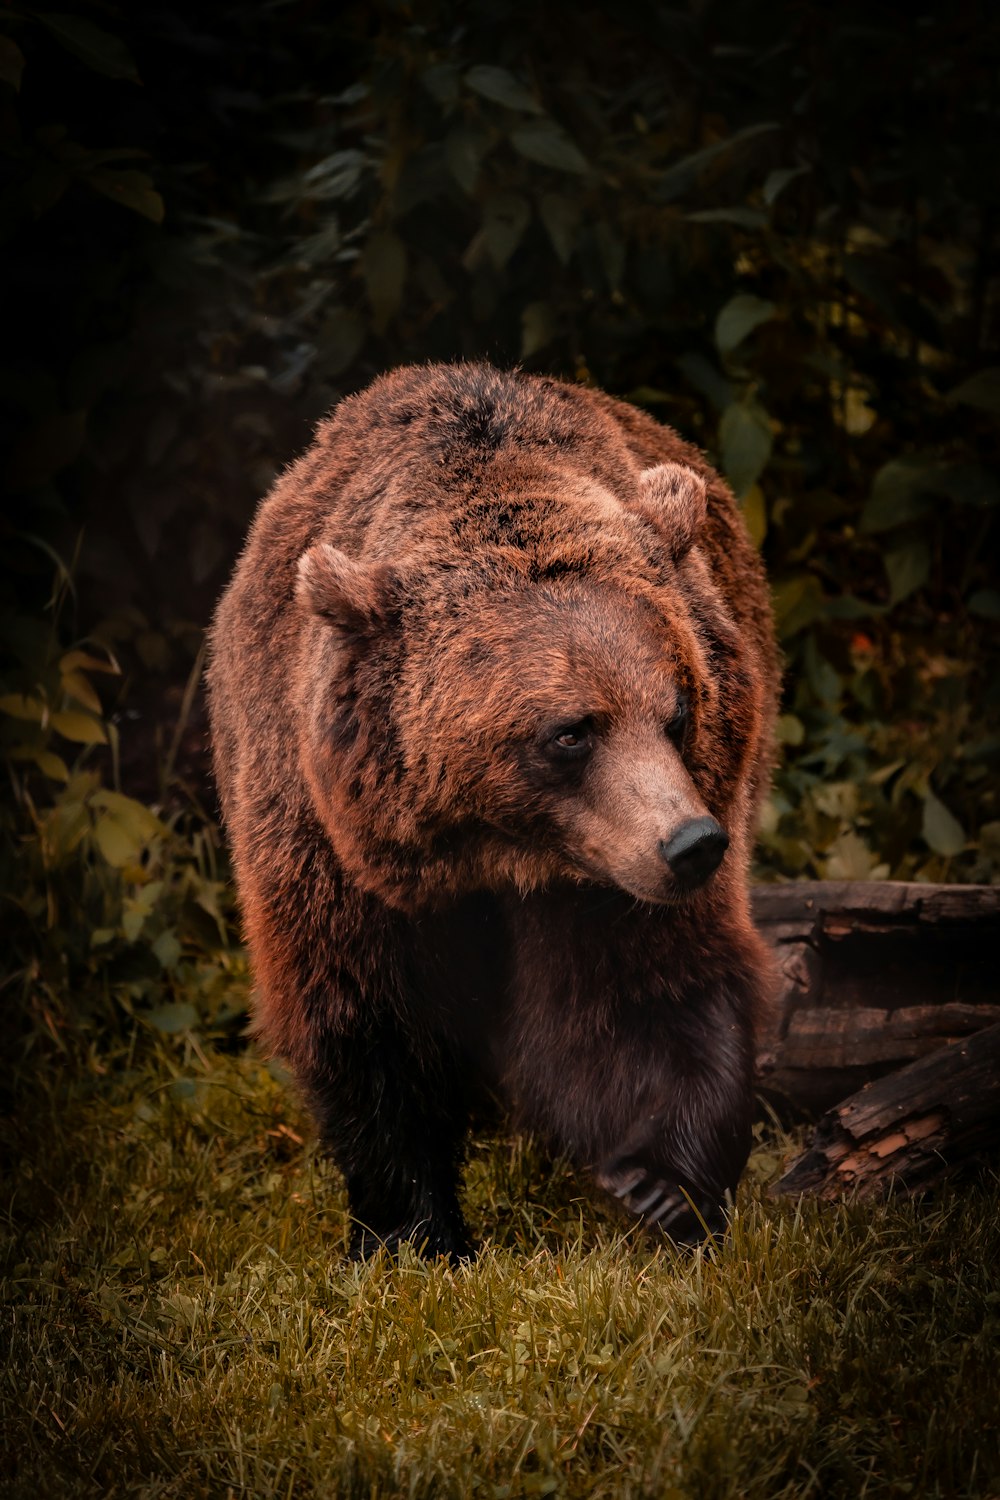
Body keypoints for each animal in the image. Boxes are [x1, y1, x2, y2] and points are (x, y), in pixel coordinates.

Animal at [206, 360, 779, 1254]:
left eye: (678, 710)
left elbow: (647, 989)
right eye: (571, 732)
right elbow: (369, 1021)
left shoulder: (610, 871)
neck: (497, 851)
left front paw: (660, 1184)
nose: (692, 844)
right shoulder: (329, 844)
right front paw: (414, 1229)